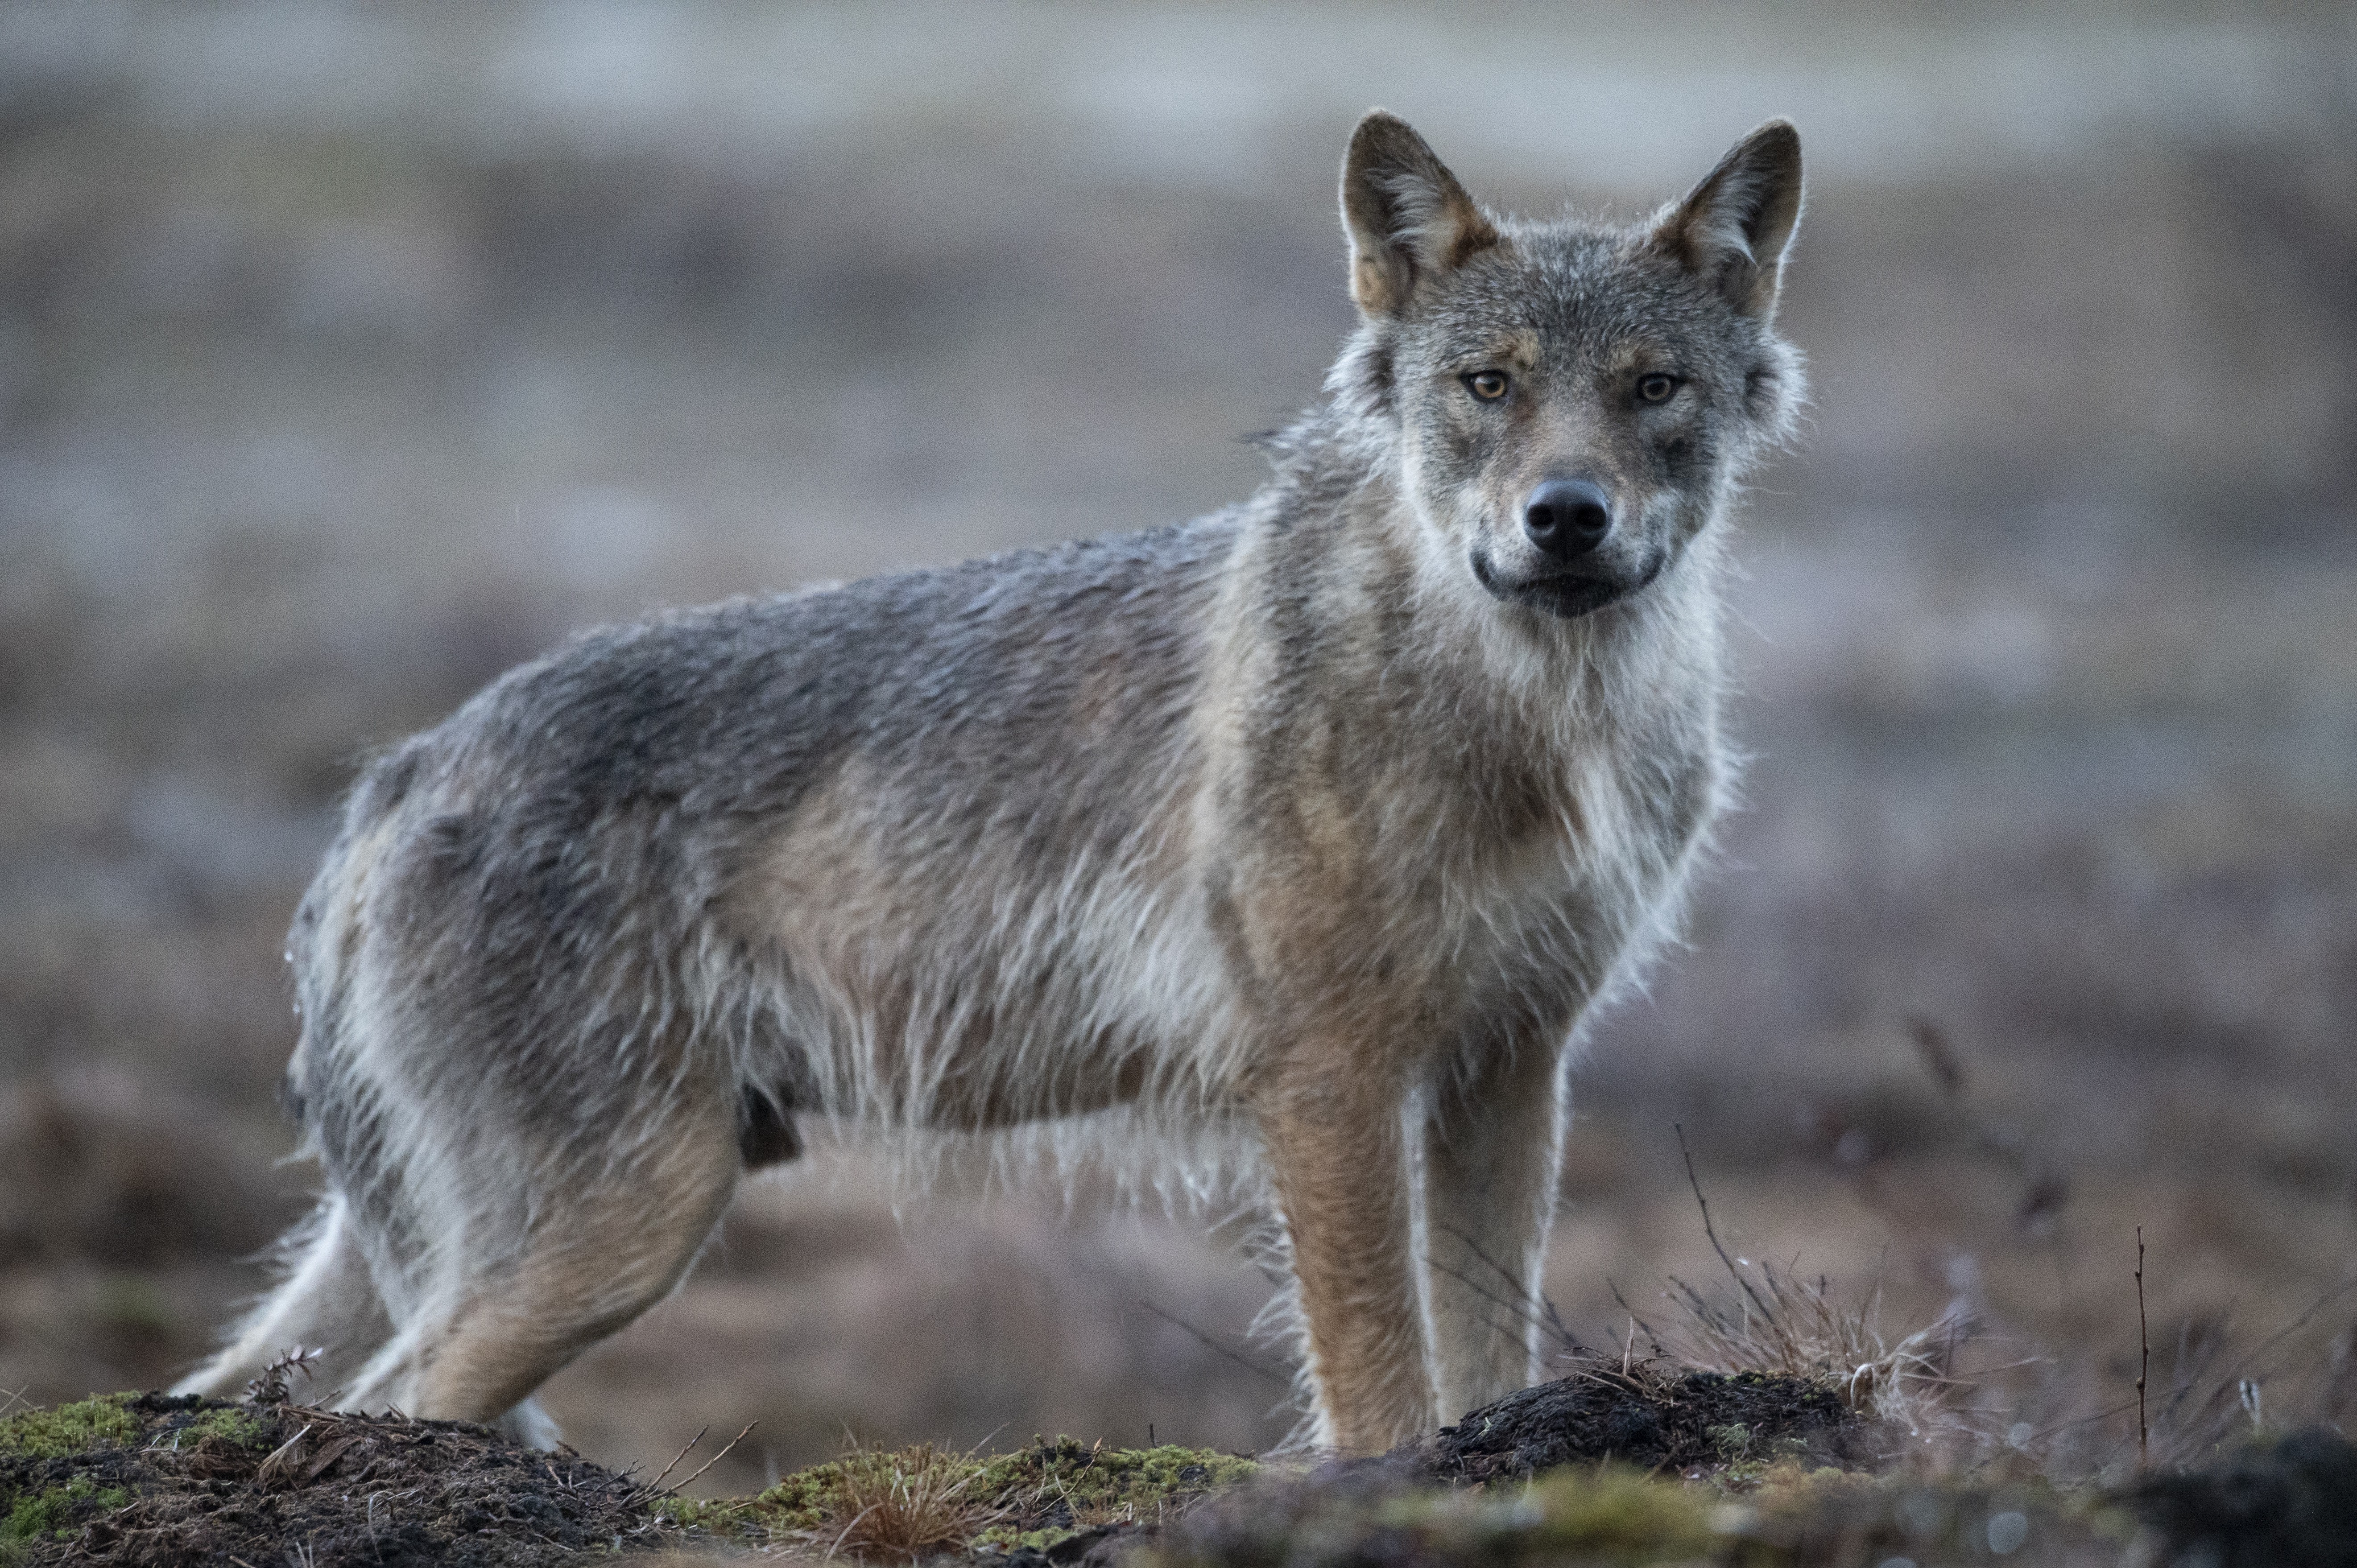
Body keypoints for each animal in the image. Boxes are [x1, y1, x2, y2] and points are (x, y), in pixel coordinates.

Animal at [179, 112, 1804, 1457]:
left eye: (1651, 389)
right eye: (1489, 386)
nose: (1564, 518)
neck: (1535, 718)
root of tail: (400, 771)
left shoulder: (1505, 1065)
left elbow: (1484, 1348)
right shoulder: (1328, 1079)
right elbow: (1377, 1380)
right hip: (619, 1232)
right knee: (379, 1398)